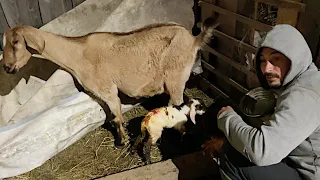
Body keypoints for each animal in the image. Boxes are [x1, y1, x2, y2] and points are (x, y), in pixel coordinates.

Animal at [0, 21, 218, 147]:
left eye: (16, 42)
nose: (6, 67)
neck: (77, 55)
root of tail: (194, 39)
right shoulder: (99, 95)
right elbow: (111, 117)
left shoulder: (108, 90)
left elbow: (118, 117)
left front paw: (122, 142)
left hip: (175, 77)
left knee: (177, 106)